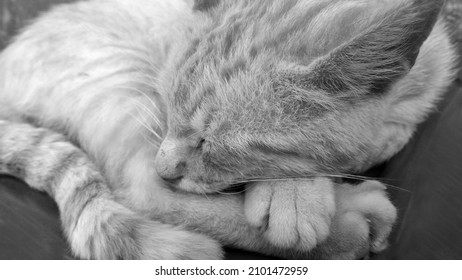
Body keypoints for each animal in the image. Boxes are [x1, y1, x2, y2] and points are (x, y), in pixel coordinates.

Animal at [0, 0, 456, 260]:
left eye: (212, 142)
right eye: (167, 106)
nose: (167, 165)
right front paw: (296, 199)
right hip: (120, 82)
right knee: (144, 190)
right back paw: (353, 223)